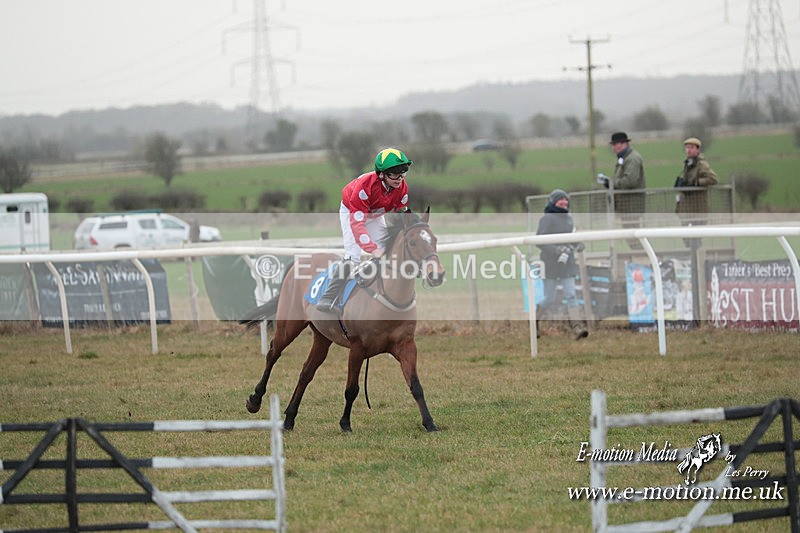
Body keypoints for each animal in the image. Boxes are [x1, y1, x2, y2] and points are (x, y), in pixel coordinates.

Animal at [241, 208, 446, 433]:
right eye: (413, 242)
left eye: (434, 240)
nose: (437, 275)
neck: (389, 296)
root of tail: (299, 261)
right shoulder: (357, 347)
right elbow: (352, 389)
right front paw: (345, 423)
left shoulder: (406, 346)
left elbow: (416, 386)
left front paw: (430, 423)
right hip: (289, 326)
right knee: (273, 354)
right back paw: (255, 400)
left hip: (322, 337)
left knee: (306, 372)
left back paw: (289, 419)